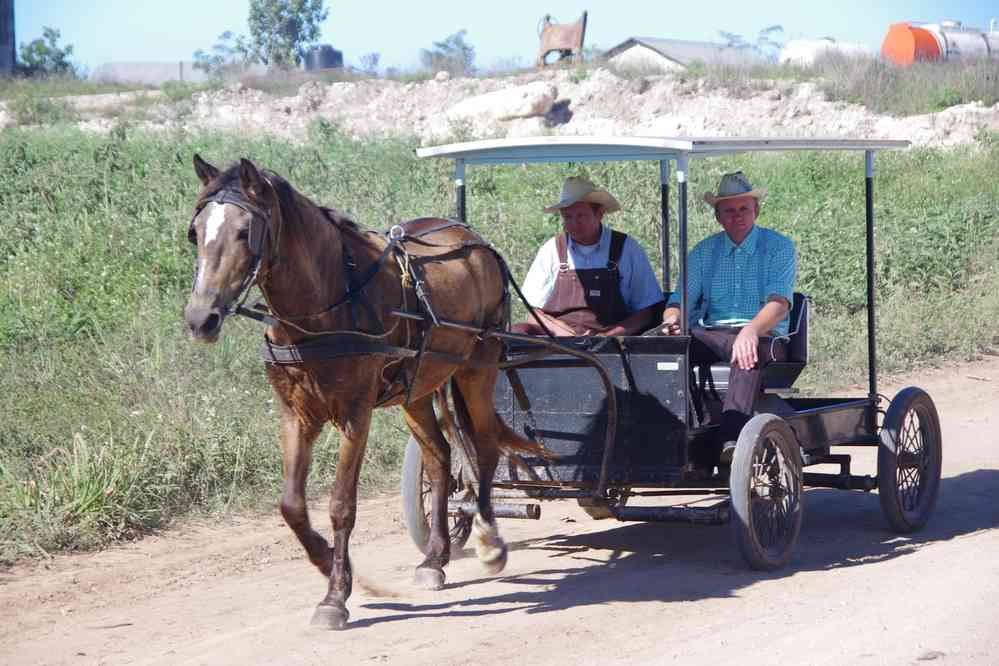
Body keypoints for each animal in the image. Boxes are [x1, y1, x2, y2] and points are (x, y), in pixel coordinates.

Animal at [184, 154, 552, 628]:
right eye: (196, 232)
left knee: (484, 447)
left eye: (246, 232)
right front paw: (328, 562)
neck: (326, 301)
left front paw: (335, 596)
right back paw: (435, 558)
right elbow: (291, 506)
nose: (200, 319)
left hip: (478, 368)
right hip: (420, 387)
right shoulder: (294, 414)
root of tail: (475, 240)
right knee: (439, 458)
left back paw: (489, 540)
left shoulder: (355, 413)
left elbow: (342, 505)